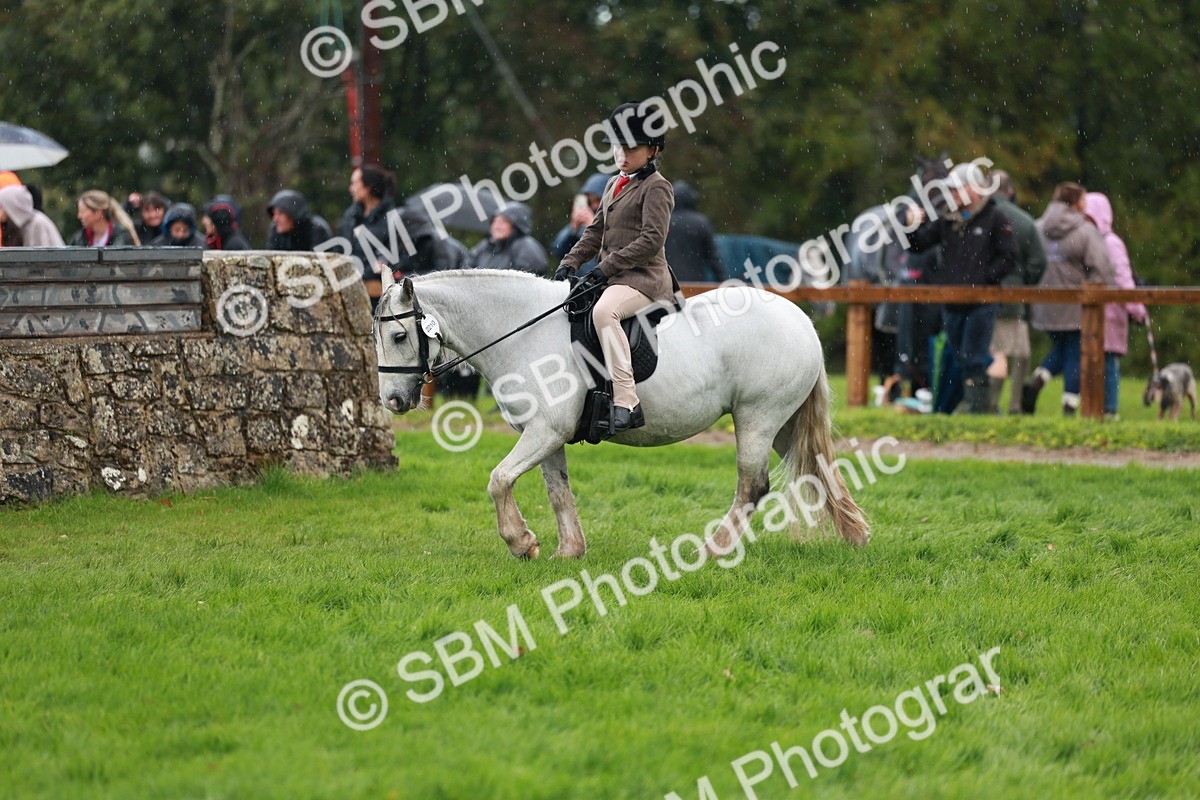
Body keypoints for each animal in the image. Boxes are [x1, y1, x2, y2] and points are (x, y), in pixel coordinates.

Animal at [373, 268, 869, 559]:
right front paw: (568, 552)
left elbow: (498, 480)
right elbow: (557, 492)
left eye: (398, 336)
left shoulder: (544, 431)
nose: (393, 401)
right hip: (783, 426)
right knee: (820, 473)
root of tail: (802, 322)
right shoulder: (546, 436)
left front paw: (522, 543)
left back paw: (712, 550)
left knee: (753, 486)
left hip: (757, 419)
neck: (523, 332)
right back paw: (857, 536)